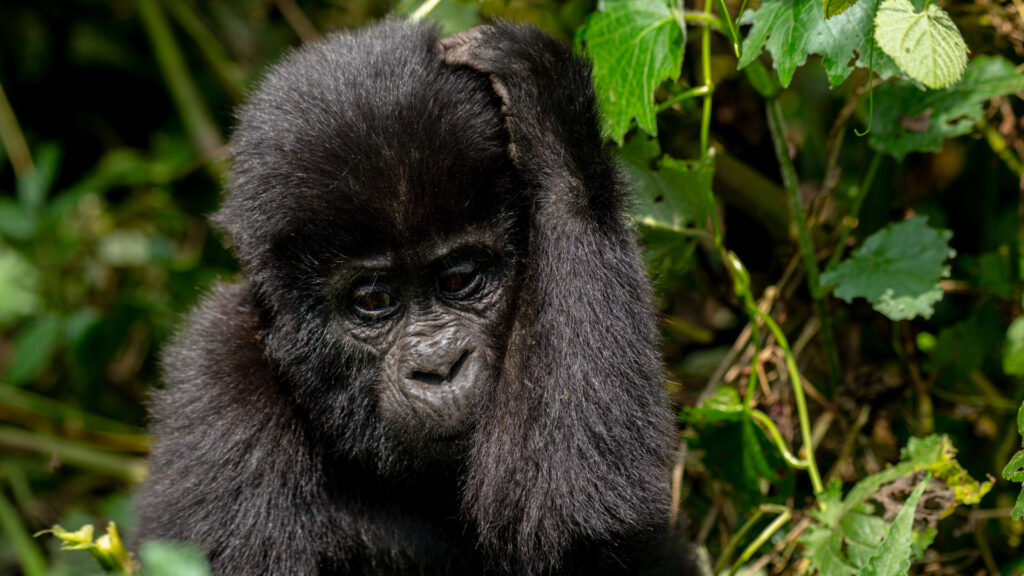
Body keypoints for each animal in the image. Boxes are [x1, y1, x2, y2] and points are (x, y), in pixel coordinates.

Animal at [138, 20, 696, 569]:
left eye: (458, 279)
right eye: (372, 301)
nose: (438, 367)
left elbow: (571, 518)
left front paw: (549, 113)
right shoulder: (218, 375)